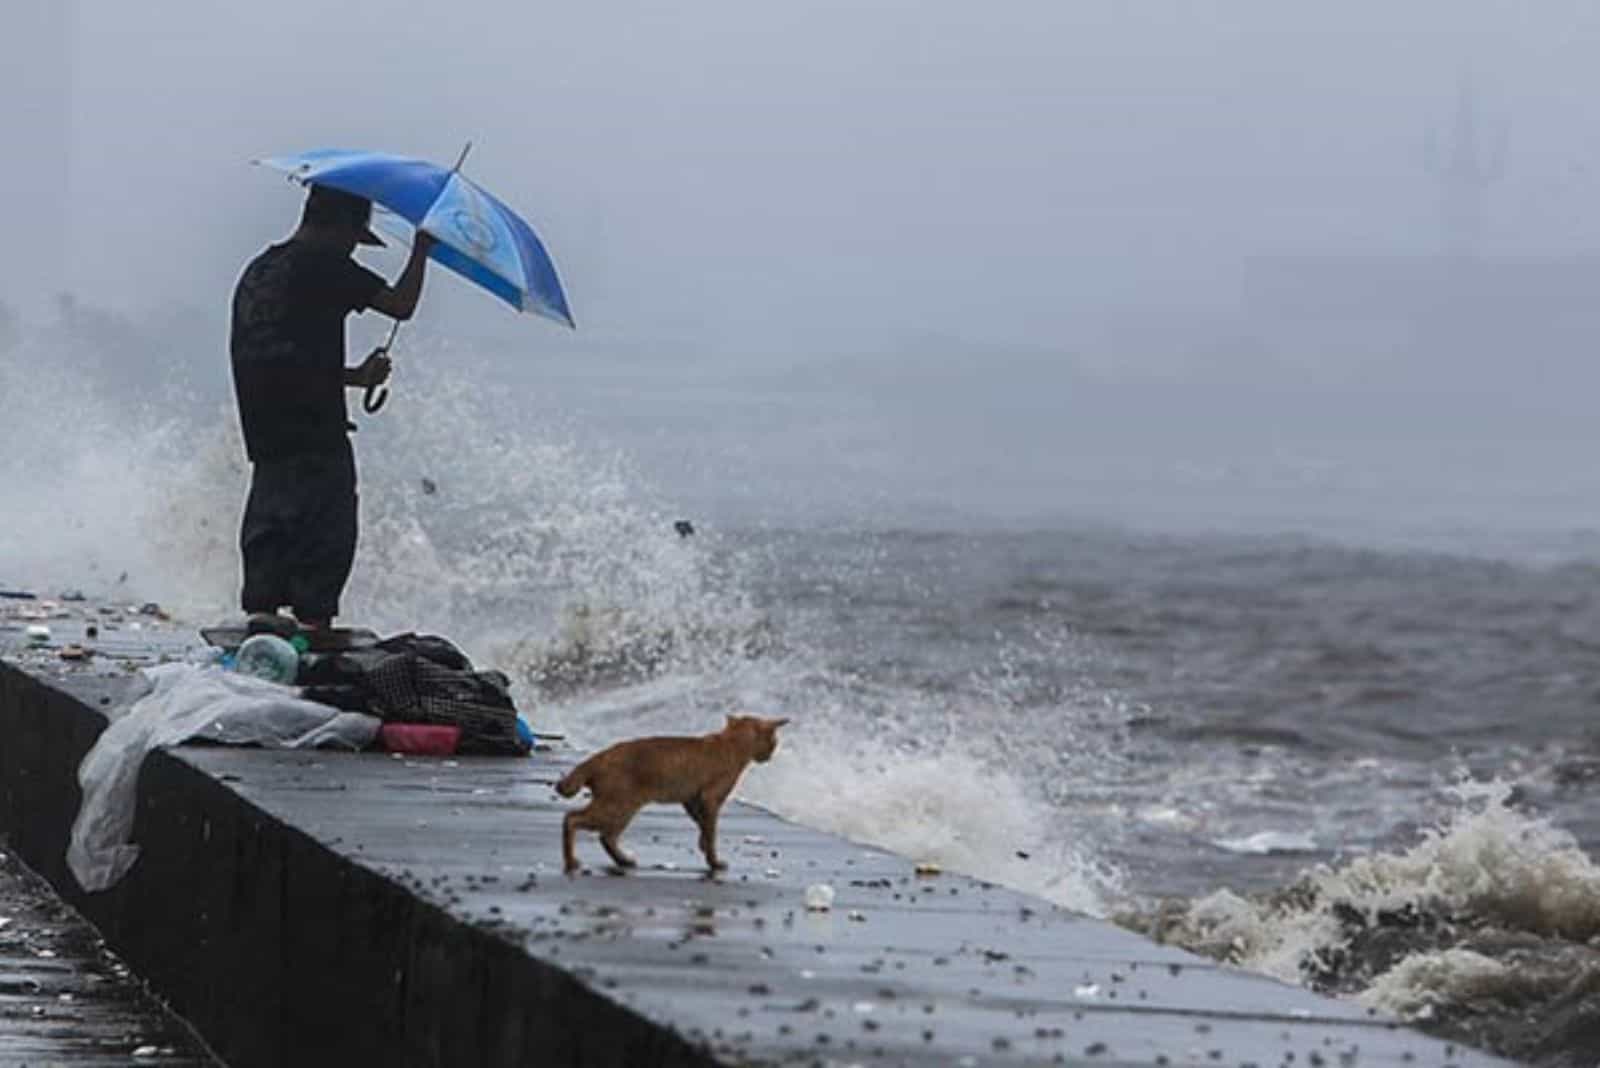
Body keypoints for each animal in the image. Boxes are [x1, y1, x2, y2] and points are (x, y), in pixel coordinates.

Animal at [556, 713, 793, 869]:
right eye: (774, 742)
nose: (771, 755)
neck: (730, 742)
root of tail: (600, 756)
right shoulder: (710, 799)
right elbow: (711, 831)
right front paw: (713, 861)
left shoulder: (691, 799)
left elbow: (703, 825)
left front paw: (703, 845)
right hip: (617, 807)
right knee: (572, 819)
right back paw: (571, 861)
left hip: (620, 810)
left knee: (605, 837)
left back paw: (623, 860)